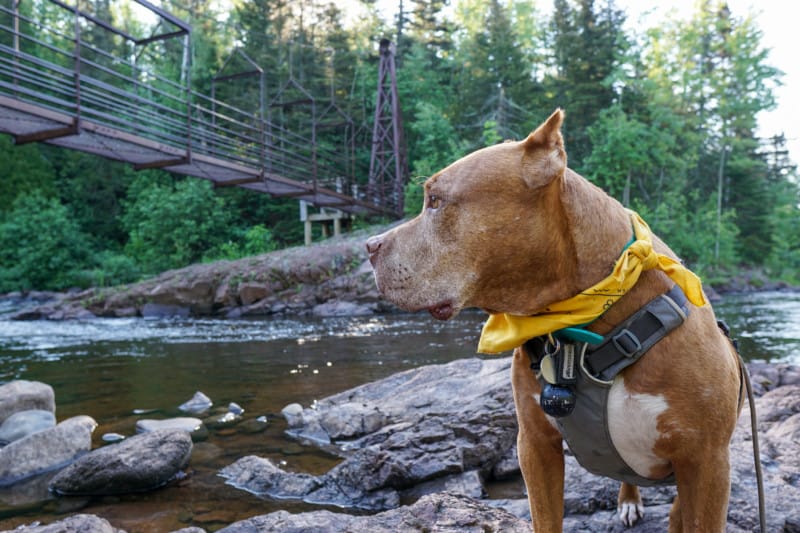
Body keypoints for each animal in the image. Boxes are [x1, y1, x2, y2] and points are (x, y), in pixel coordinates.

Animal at [366, 110, 740, 528]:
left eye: (435, 200)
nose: (369, 246)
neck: (588, 320)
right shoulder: (534, 443)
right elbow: (546, 518)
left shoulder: (707, 461)